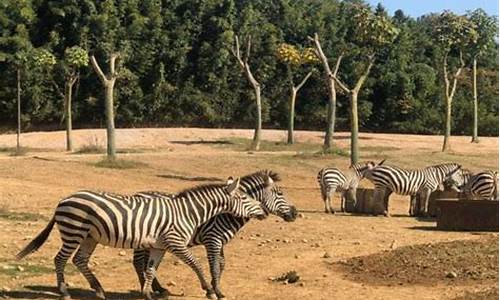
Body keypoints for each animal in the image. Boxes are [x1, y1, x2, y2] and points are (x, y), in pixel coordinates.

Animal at [15, 178, 266, 300]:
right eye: (244, 197)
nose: (263, 211)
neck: (188, 212)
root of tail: (64, 199)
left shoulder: (159, 246)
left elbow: (150, 269)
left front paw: (148, 293)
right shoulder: (176, 243)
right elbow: (197, 265)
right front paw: (210, 290)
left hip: (89, 237)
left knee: (79, 260)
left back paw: (99, 290)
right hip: (74, 231)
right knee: (60, 259)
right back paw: (64, 292)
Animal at [132, 170, 296, 298]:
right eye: (280, 193)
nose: (295, 213)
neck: (226, 213)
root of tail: (137, 193)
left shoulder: (219, 241)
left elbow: (221, 264)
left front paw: (213, 286)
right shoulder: (212, 239)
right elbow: (214, 266)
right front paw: (216, 291)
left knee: (144, 264)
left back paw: (158, 288)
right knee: (139, 263)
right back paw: (146, 288)